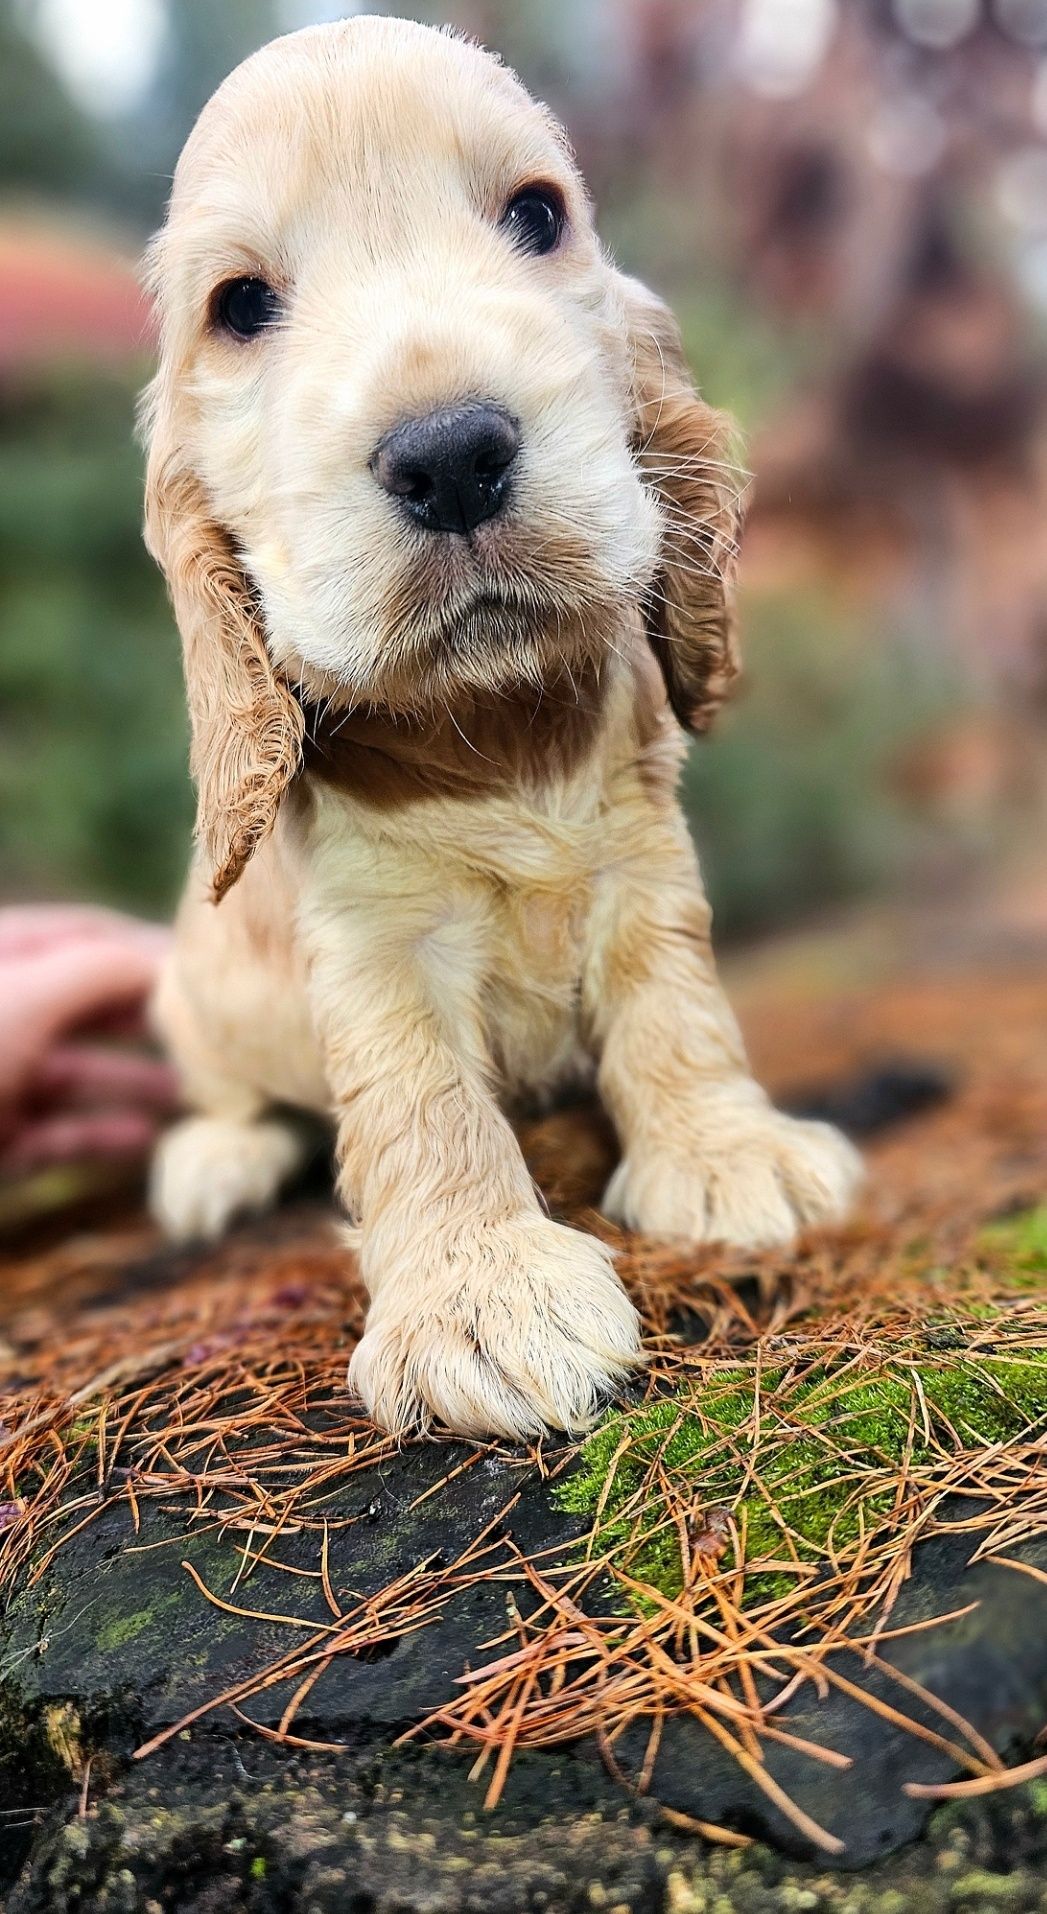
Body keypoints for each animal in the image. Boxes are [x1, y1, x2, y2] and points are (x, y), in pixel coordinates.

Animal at [141, 18, 861, 1439]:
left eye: (538, 215)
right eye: (239, 304)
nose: (450, 454)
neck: (493, 729)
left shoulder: (643, 851)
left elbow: (676, 1001)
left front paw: (726, 1150)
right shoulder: (370, 935)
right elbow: (421, 1099)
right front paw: (479, 1293)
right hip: (192, 994)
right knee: (235, 1092)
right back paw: (216, 1155)